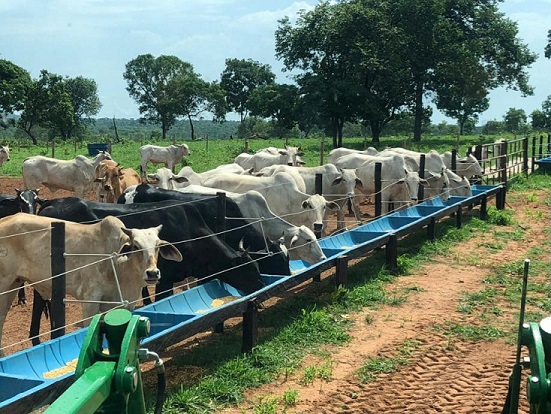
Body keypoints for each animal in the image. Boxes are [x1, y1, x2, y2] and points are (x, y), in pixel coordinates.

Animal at [0, 213, 183, 356]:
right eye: (136, 246)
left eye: (158, 246)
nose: (152, 273)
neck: (117, 263)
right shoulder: (90, 301)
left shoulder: (124, 304)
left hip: (14, 285)